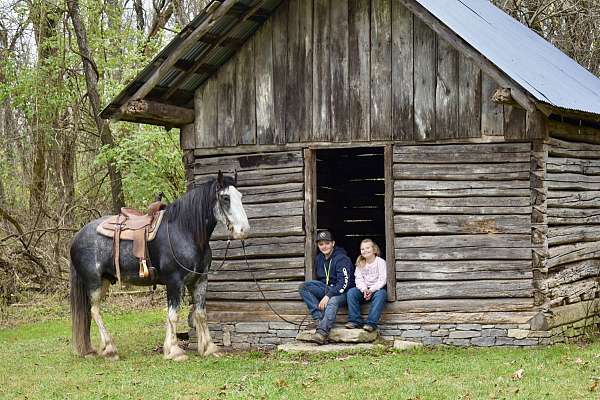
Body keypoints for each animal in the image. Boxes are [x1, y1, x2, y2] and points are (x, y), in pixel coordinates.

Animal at [69, 173, 250, 362]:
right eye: (225, 198)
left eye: (240, 196)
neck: (185, 231)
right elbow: (173, 315)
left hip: (104, 280)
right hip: (94, 282)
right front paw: (174, 351)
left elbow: (200, 314)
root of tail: (77, 236)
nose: (244, 230)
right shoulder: (175, 282)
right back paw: (110, 349)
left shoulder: (199, 280)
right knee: (95, 311)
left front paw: (208, 348)